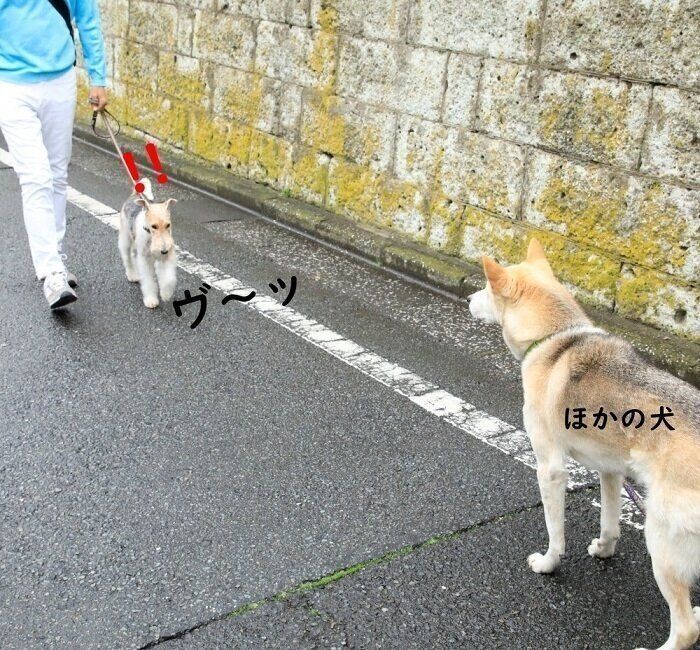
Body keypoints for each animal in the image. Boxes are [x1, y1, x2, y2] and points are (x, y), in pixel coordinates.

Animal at [118, 178, 178, 308]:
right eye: (154, 226)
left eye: (168, 225)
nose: (164, 250)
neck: (150, 236)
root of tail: (135, 194)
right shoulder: (145, 260)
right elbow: (148, 280)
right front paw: (151, 299)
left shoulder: (166, 258)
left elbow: (168, 278)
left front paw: (166, 294)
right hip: (125, 239)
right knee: (128, 258)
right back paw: (133, 275)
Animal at [469, 238, 700, 650]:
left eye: (484, 287)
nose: (467, 297)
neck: (556, 336)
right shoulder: (611, 470)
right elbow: (610, 522)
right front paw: (604, 550)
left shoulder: (550, 468)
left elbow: (555, 533)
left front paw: (548, 565)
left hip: (661, 539)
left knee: (686, 627)